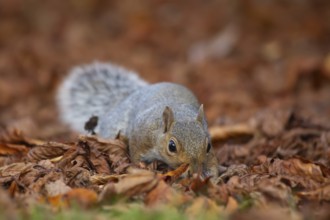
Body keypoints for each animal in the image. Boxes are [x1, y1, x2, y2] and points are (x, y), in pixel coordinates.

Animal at [58, 61, 218, 177]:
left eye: (209, 146)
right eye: (171, 147)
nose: (195, 170)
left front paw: (210, 173)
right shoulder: (141, 137)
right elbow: (136, 154)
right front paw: (142, 167)